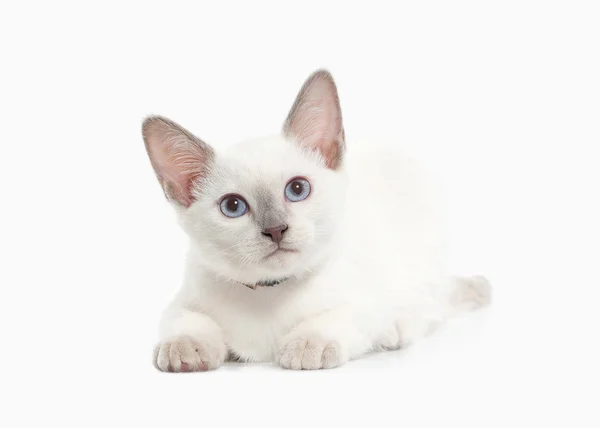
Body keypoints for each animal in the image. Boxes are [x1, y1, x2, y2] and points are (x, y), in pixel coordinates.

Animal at [143, 69, 490, 372]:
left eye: (297, 189)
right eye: (233, 207)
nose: (275, 230)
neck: (270, 292)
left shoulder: (368, 302)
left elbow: (339, 316)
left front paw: (308, 344)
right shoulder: (182, 302)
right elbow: (187, 321)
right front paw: (183, 347)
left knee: (430, 307)